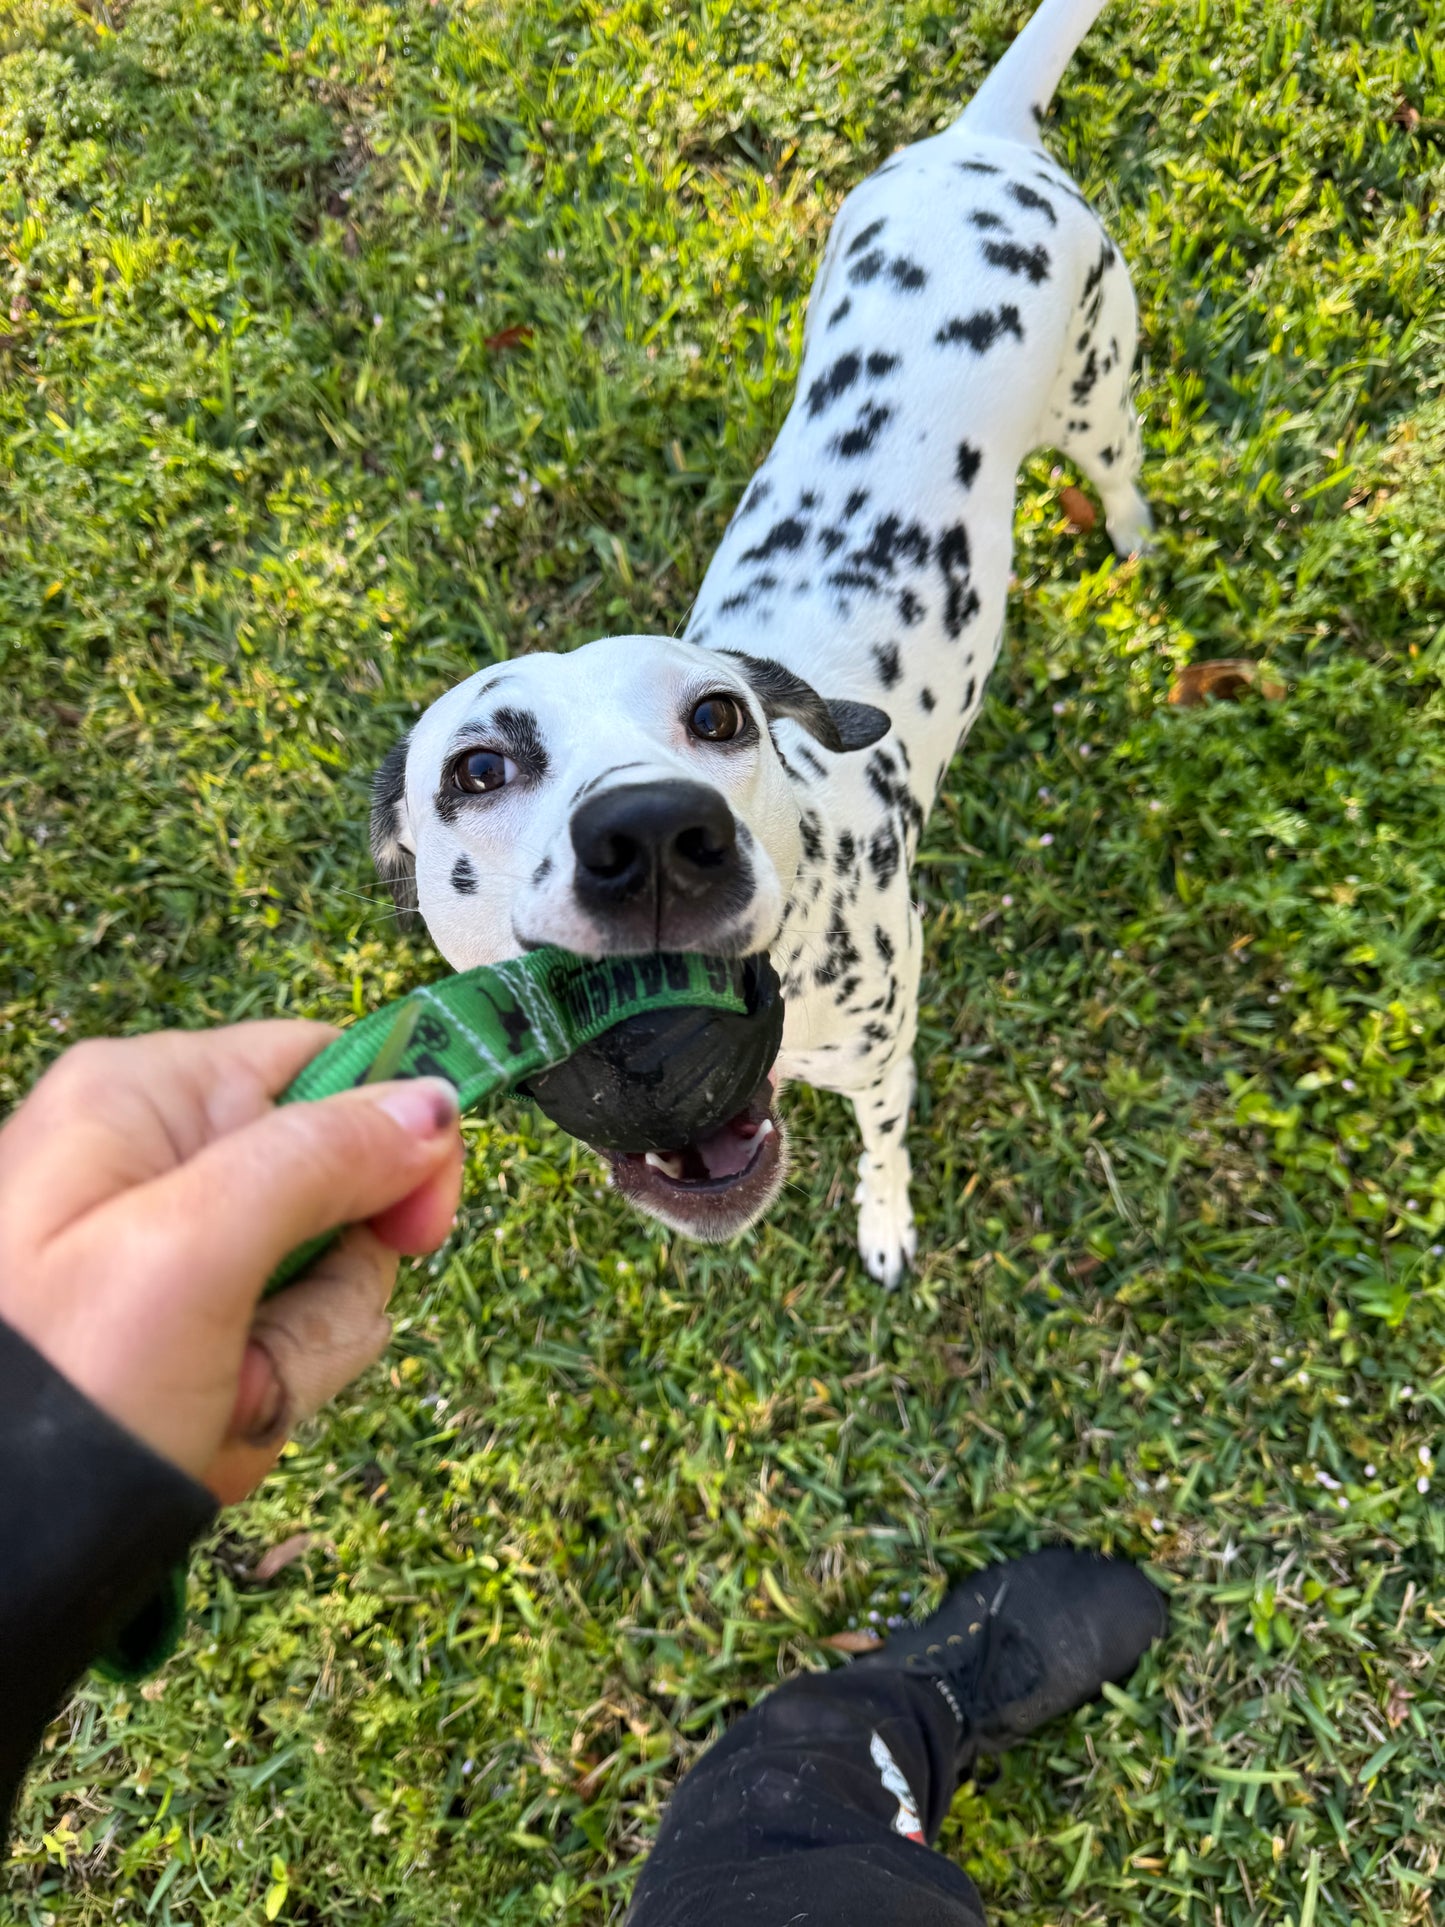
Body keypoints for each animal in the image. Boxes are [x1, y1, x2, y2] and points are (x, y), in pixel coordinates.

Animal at [373, 3, 1156, 1294]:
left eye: (717, 716)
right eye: (478, 767)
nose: (649, 836)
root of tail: (982, 139)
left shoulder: (884, 1054)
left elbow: (883, 1145)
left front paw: (884, 1221)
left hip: (1097, 389)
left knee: (1119, 462)